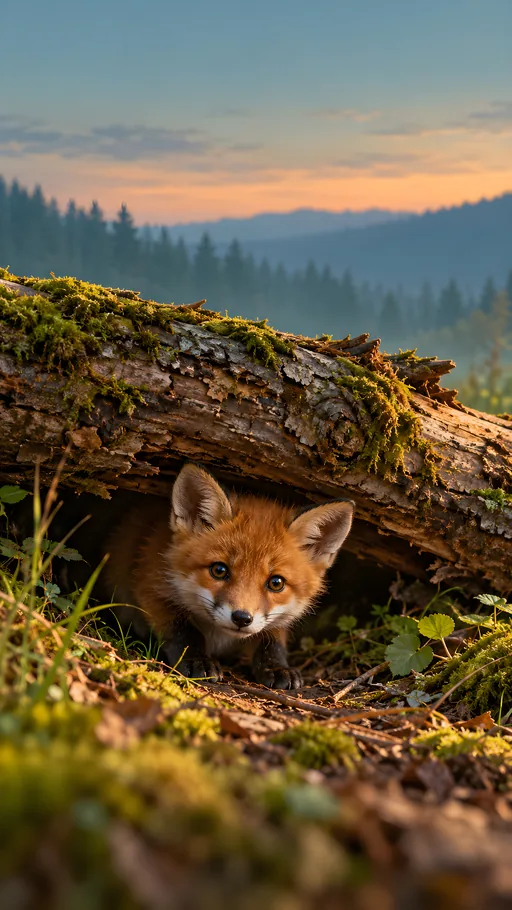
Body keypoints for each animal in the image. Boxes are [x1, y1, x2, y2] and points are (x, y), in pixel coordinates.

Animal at [103, 463, 355, 689]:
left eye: (276, 583)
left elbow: (271, 639)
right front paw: (197, 660)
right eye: (219, 570)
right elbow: (182, 629)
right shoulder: (150, 582)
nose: (242, 618)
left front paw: (276, 666)